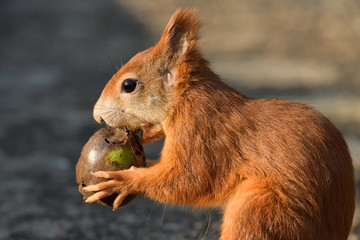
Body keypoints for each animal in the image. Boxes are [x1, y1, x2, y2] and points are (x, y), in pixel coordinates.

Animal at [83, 7, 356, 240]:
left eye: (129, 85)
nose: (97, 116)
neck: (186, 100)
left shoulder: (203, 133)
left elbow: (190, 180)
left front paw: (124, 180)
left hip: (260, 209)